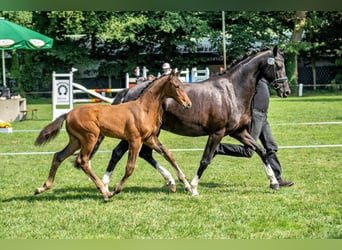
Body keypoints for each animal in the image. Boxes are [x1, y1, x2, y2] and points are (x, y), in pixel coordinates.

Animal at [34, 71, 192, 201]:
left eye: (182, 86)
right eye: (176, 86)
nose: (188, 104)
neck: (144, 109)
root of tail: (67, 113)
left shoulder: (150, 139)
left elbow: (169, 155)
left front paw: (188, 187)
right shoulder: (135, 140)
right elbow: (130, 167)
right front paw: (116, 190)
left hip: (76, 141)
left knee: (59, 156)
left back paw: (42, 188)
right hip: (90, 137)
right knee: (82, 161)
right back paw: (105, 192)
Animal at [92, 46, 290, 195]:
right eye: (278, 65)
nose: (286, 91)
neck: (232, 91)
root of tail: (129, 91)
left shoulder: (238, 132)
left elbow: (261, 151)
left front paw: (274, 182)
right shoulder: (217, 133)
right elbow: (206, 159)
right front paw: (194, 187)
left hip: (150, 133)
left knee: (141, 154)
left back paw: (168, 181)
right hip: (141, 133)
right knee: (120, 153)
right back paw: (106, 185)